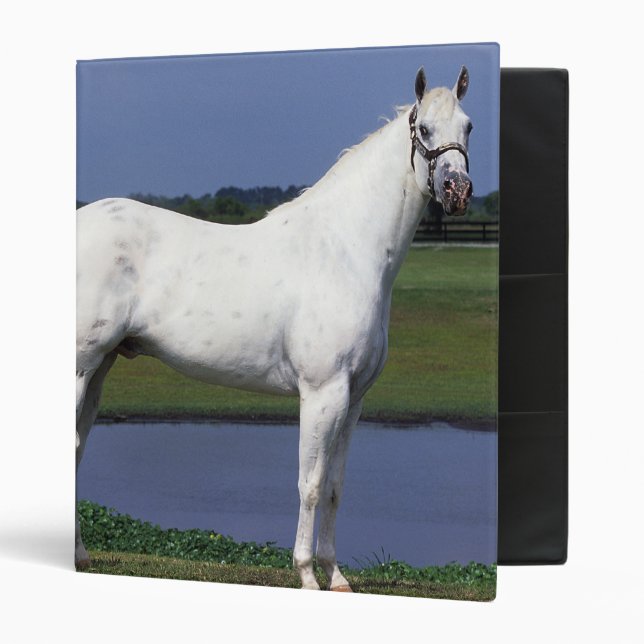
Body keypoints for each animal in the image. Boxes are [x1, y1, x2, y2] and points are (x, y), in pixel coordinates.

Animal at [75, 66, 474, 591]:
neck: (344, 249)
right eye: (424, 129)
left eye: (468, 126)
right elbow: (310, 484)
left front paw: (336, 575)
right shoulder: (322, 393)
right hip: (80, 366)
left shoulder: (354, 399)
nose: (457, 191)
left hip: (99, 367)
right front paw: (306, 574)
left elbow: (335, 487)